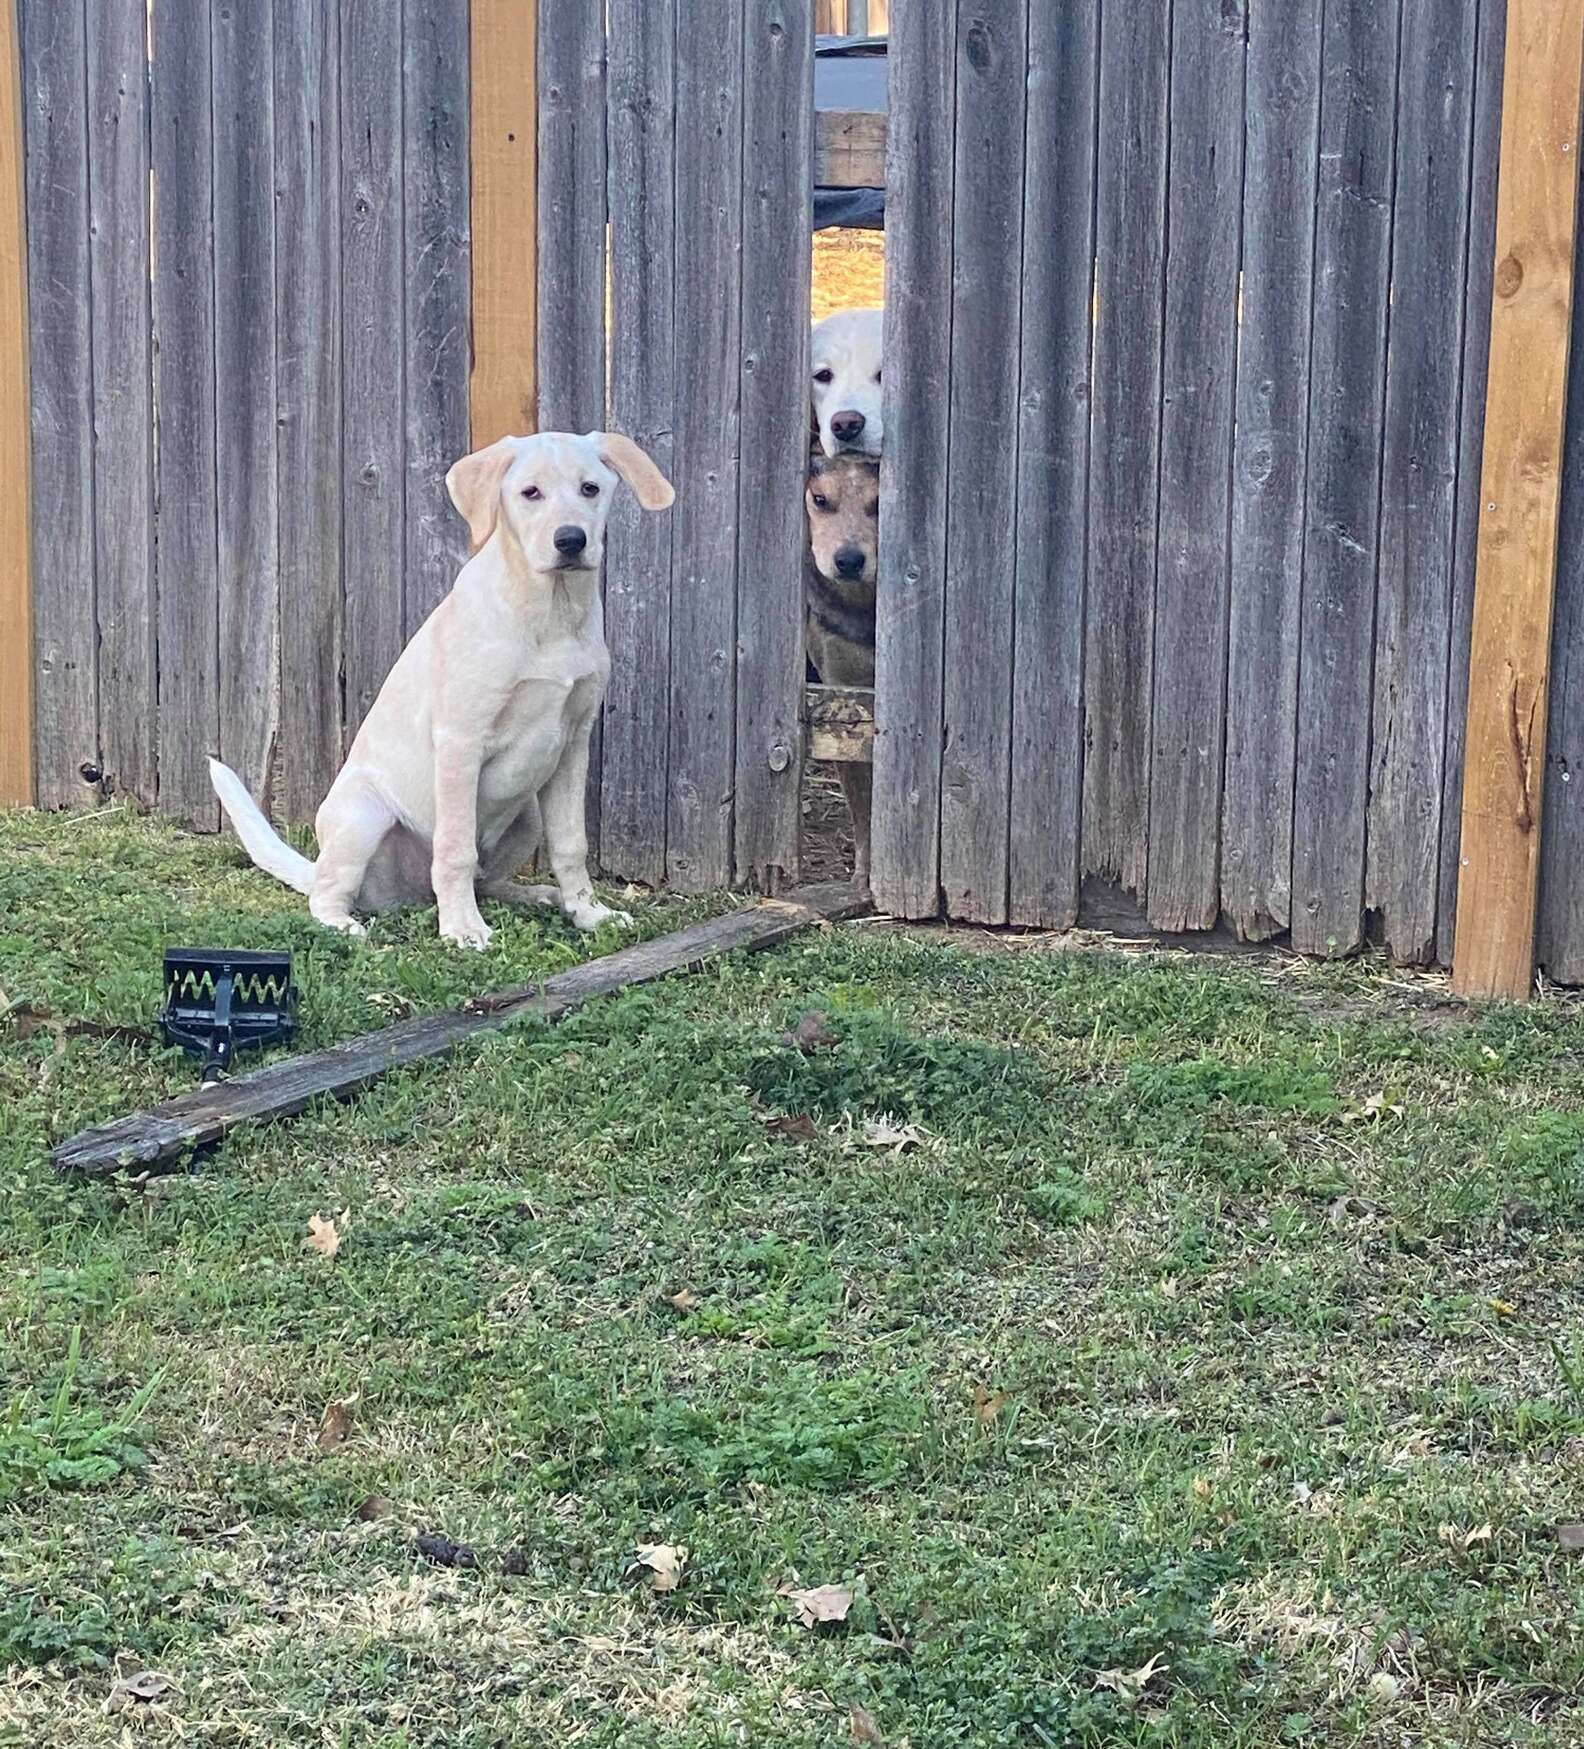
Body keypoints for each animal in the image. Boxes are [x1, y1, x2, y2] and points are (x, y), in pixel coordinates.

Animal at [207, 430, 671, 951]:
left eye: (590, 488)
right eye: (530, 493)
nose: (571, 540)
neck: (551, 613)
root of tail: (405, 893)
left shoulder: (573, 744)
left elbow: (572, 844)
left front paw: (590, 914)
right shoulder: (460, 742)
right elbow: (455, 849)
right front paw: (463, 929)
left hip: (528, 815)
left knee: (488, 881)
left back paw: (537, 896)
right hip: (363, 817)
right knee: (329, 893)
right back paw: (347, 923)